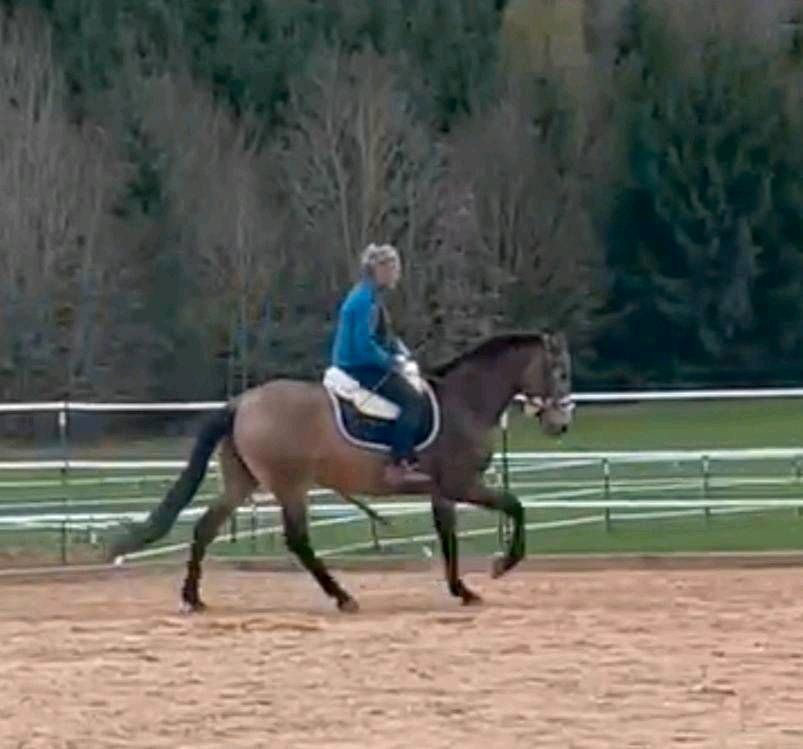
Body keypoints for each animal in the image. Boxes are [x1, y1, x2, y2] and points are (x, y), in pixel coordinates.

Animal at [110, 330, 576, 612]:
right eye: (560, 371)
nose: (561, 425)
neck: (464, 401)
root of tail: (241, 402)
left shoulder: (442, 490)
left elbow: (448, 537)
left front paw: (461, 589)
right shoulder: (463, 483)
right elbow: (515, 506)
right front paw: (502, 565)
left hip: (243, 481)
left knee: (205, 527)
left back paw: (192, 598)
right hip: (290, 484)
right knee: (297, 540)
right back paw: (342, 596)